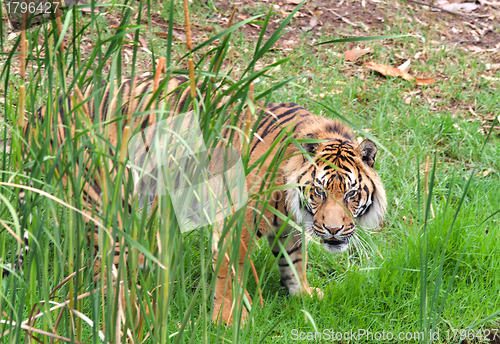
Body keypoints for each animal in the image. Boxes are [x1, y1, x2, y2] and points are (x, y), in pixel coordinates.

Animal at [10, 74, 386, 324]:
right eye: (318, 192)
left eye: (351, 194)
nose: (334, 231)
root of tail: (51, 105)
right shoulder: (238, 216)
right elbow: (229, 268)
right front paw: (228, 318)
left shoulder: (289, 222)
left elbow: (295, 259)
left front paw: (304, 294)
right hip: (108, 198)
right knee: (105, 265)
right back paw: (128, 304)